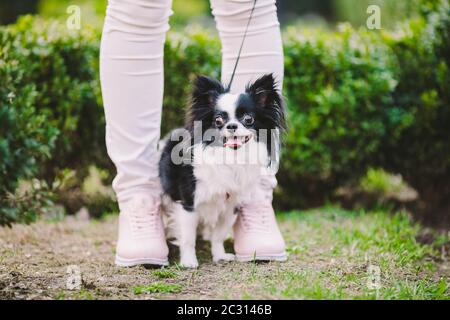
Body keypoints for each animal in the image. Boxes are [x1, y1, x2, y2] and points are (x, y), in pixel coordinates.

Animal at [158, 73, 284, 268]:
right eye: (218, 120)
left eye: (248, 119)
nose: (231, 126)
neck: (231, 158)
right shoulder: (189, 204)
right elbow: (188, 238)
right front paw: (189, 261)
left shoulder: (231, 207)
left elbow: (218, 236)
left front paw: (219, 255)